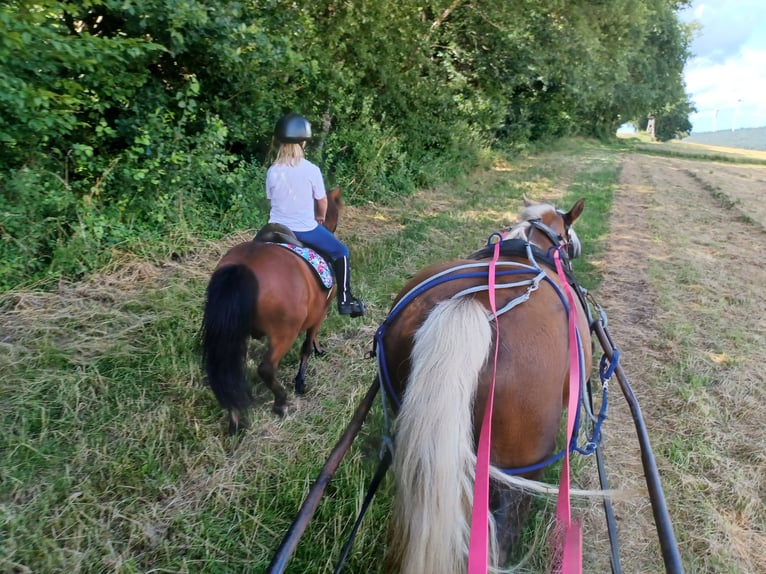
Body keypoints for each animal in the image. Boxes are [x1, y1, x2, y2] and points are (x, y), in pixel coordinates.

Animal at [201, 187, 342, 434]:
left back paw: (235, 422)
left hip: (233, 334)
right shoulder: (318, 315)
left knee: (229, 371)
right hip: (283, 333)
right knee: (266, 368)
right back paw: (281, 403)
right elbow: (306, 346)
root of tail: (243, 267)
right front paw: (301, 381)